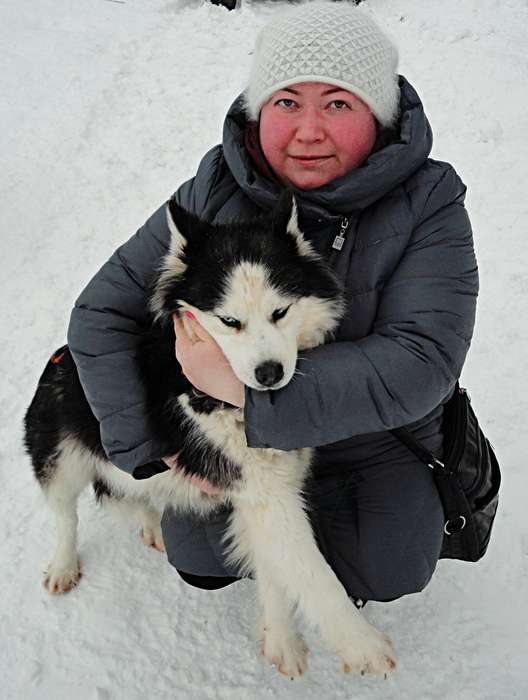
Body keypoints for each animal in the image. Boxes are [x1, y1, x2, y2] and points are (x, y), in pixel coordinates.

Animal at [24, 193, 396, 680]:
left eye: (280, 312)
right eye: (229, 320)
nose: (269, 373)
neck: (226, 399)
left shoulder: (270, 491)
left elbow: (277, 570)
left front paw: (280, 638)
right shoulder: (264, 493)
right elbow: (314, 574)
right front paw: (362, 644)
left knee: (127, 494)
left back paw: (152, 525)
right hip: (60, 457)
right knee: (68, 514)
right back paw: (64, 564)